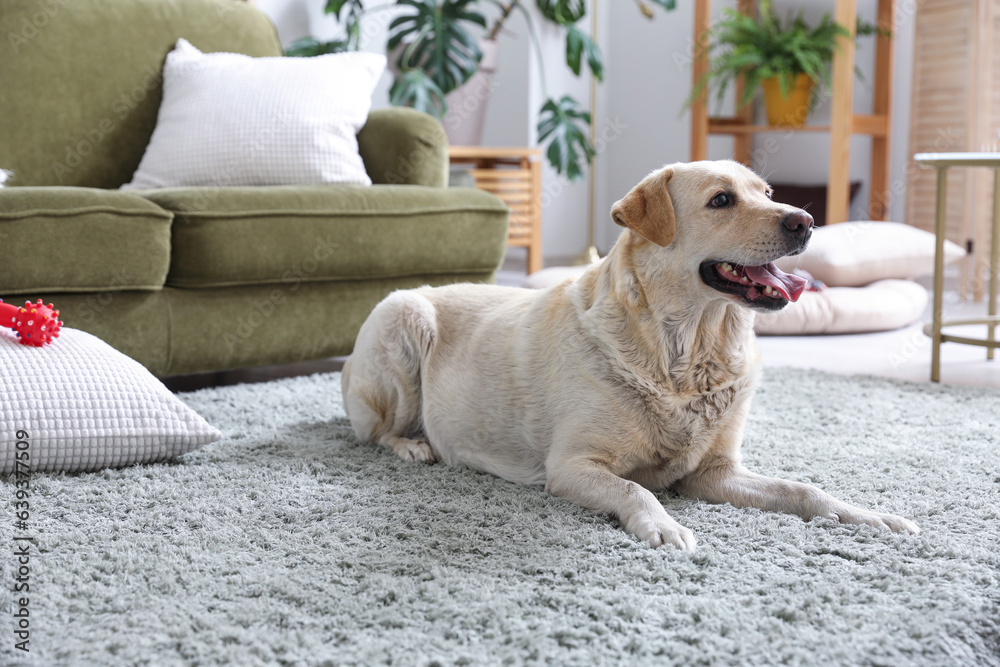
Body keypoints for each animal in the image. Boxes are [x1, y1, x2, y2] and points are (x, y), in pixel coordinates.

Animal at [346, 160, 920, 548]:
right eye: (721, 201)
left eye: (767, 193)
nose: (804, 220)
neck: (688, 355)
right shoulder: (571, 467)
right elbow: (635, 490)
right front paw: (664, 525)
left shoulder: (715, 472)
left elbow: (803, 488)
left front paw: (866, 515)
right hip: (404, 317)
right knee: (374, 432)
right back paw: (413, 446)